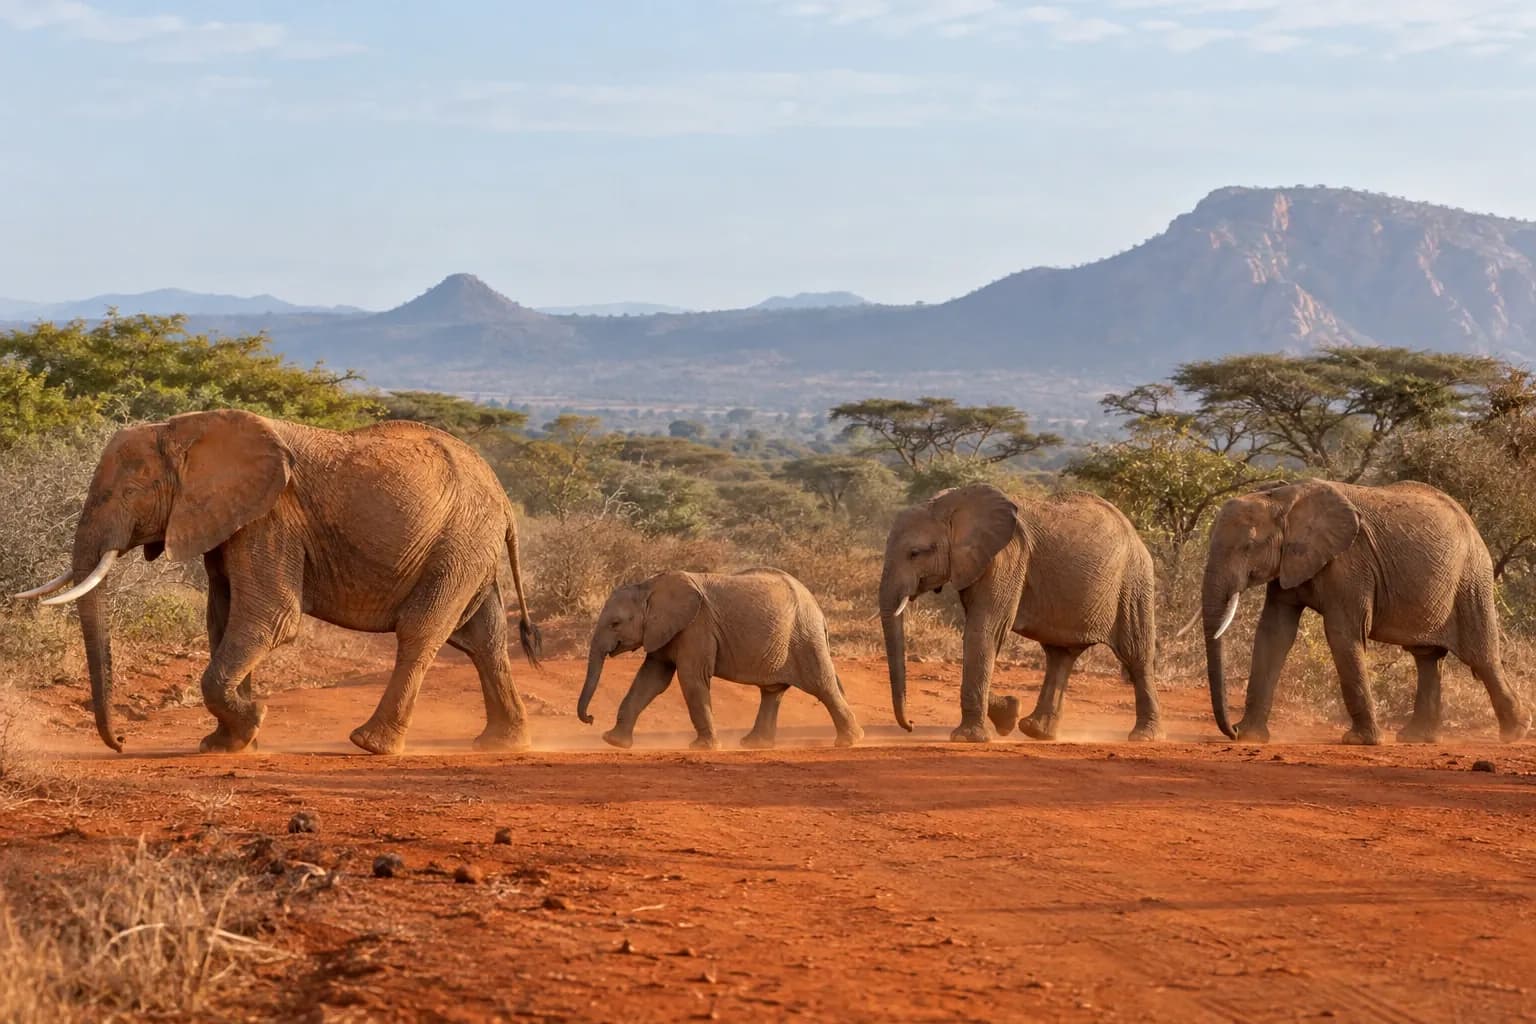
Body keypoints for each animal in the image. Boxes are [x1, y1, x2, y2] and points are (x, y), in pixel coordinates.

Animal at [13, 409, 541, 756]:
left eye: (128, 491)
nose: (121, 742)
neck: (184, 431)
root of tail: (502, 495)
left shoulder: (270, 518)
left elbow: (269, 617)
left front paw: (252, 723)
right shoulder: (230, 521)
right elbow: (223, 619)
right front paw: (226, 743)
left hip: (459, 541)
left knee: (422, 631)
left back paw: (371, 744)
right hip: (468, 546)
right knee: (482, 637)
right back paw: (501, 743)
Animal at [578, 567, 863, 750]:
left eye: (615, 623)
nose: (590, 718)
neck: (648, 587)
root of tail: (818, 609)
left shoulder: (696, 627)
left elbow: (691, 679)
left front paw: (704, 748)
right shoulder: (665, 630)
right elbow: (651, 679)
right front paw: (613, 741)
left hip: (805, 636)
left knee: (822, 685)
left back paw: (850, 742)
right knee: (772, 691)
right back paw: (754, 745)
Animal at [880, 484, 1160, 743]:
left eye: (914, 553)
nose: (911, 725)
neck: (951, 504)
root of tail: (1132, 530)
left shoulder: (1006, 558)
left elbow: (984, 631)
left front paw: (968, 738)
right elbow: (981, 633)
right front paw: (1009, 714)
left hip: (1133, 580)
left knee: (1135, 653)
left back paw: (1144, 736)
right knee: (1060, 655)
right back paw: (1036, 731)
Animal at [1201, 478, 1530, 745]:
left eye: (1248, 546)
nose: (1232, 730)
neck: (1282, 498)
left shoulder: (1351, 563)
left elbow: (1342, 634)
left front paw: (1360, 741)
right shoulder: (1290, 562)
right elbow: (1274, 633)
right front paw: (1251, 736)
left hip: (1471, 577)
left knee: (1481, 656)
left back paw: (1516, 732)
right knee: (1426, 657)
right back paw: (1416, 738)